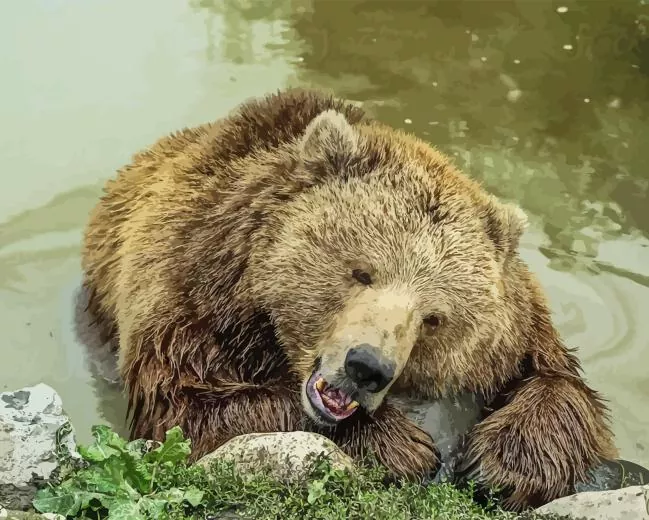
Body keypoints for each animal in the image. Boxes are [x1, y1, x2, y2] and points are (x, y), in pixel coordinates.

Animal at [81, 87, 617, 511]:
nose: (367, 367)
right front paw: (402, 446)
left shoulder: (515, 329)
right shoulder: (190, 297)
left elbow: (558, 380)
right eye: (361, 272)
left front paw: (502, 466)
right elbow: (192, 406)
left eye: (433, 318)